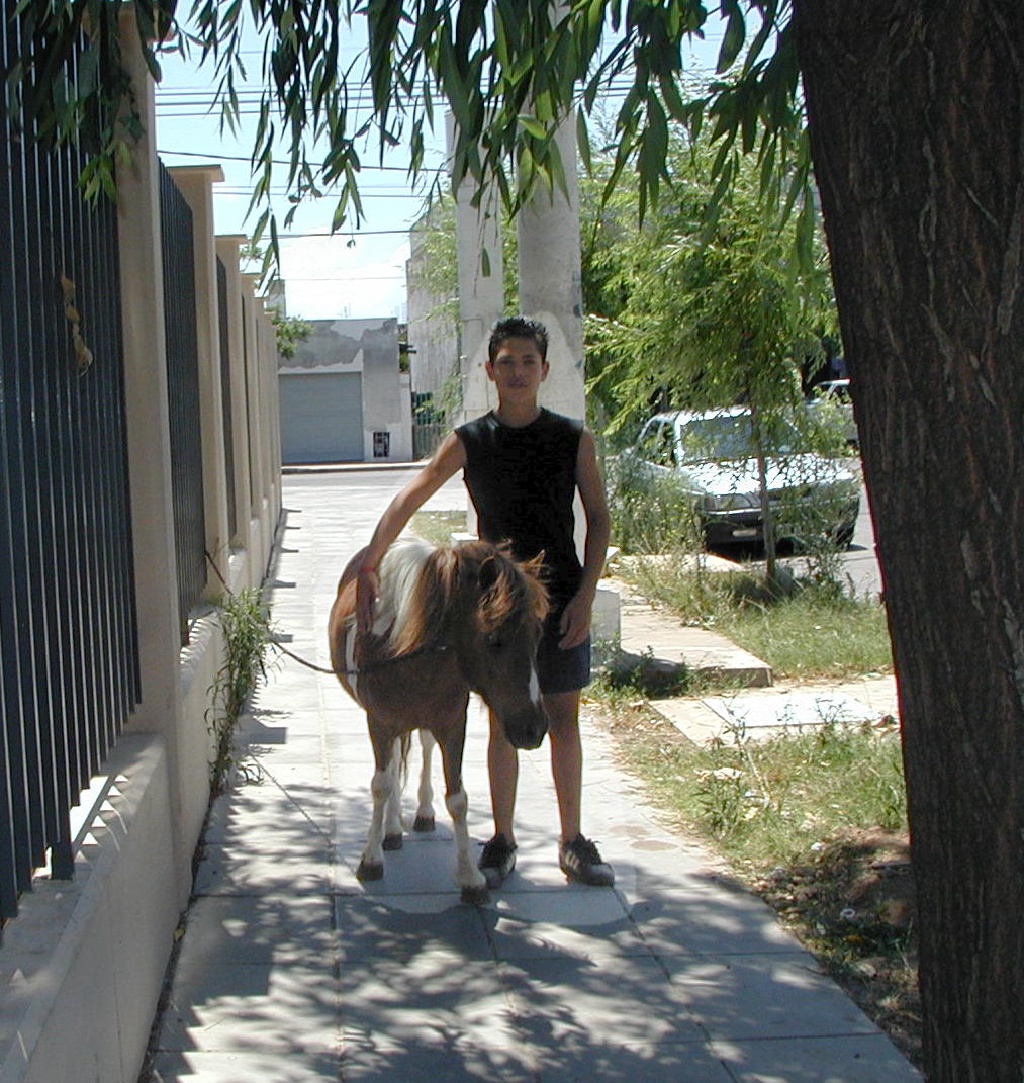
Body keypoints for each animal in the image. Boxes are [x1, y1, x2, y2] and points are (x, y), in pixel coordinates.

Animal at [328, 536, 550, 903]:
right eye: (494, 640)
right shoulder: (379, 724)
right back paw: (391, 829)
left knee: (424, 748)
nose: (534, 728)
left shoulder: (452, 725)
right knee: (392, 767)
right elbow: (381, 785)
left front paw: (470, 877)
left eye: (537, 636)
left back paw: (420, 813)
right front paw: (370, 860)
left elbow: (457, 799)